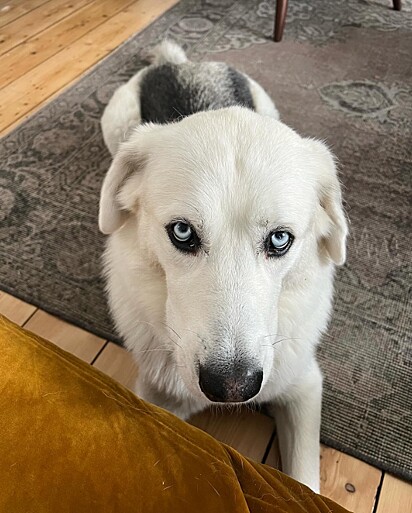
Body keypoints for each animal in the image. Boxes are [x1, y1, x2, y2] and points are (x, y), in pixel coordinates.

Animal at [100, 41, 348, 492]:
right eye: (182, 232)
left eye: (280, 239)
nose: (232, 387)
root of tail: (181, 64)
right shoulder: (157, 395)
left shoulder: (303, 386)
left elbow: (304, 484)